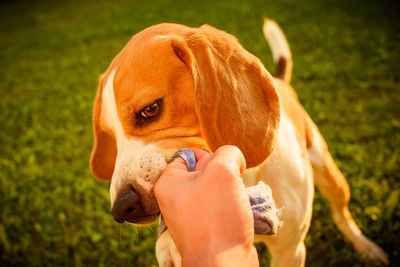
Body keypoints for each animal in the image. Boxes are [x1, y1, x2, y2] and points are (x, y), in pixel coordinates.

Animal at [90, 19, 388, 266]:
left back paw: (366, 247)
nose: (122, 207)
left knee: (342, 214)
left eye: (150, 109)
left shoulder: (290, 251)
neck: (247, 181)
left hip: (331, 176)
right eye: (110, 136)